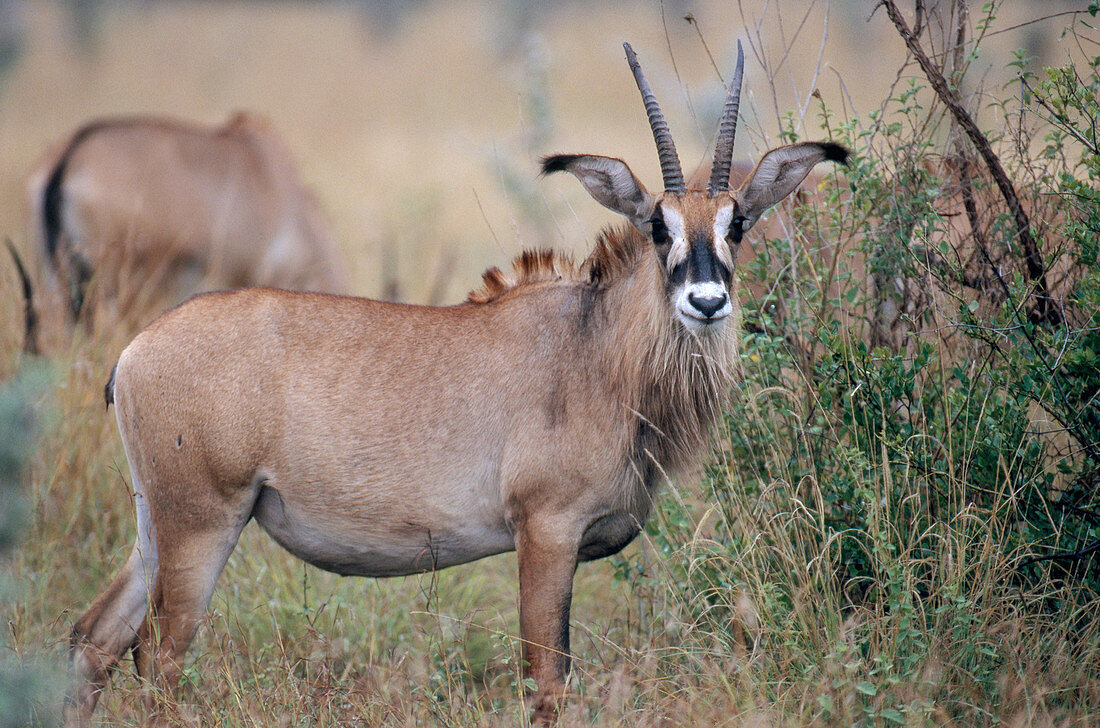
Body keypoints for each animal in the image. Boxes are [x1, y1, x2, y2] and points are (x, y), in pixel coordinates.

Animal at [64, 42, 844, 725]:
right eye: (658, 225)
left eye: (737, 223)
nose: (707, 302)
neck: (594, 348)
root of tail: (134, 352)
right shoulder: (546, 530)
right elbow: (547, 680)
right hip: (202, 524)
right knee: (159, 657)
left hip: (156, 524)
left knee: (95, 639)